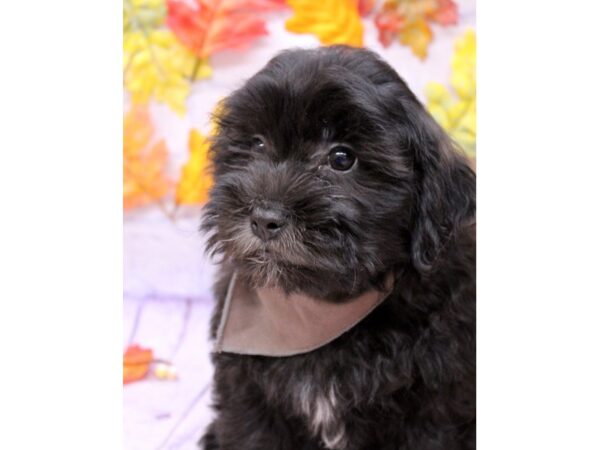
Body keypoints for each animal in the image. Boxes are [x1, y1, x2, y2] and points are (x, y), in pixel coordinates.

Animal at [203, 46, 478, 450]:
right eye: (257, 144)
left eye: (342, 158)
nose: (265, 218)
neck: (316, 312)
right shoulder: (249, 394)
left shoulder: (435, 402)